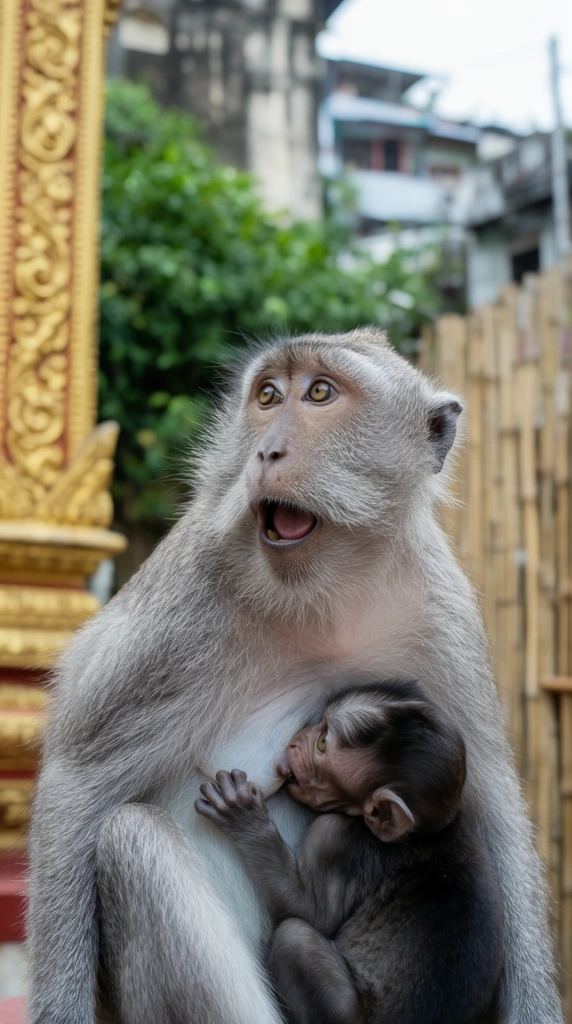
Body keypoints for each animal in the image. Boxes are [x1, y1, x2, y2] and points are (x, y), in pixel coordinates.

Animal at [195, 680, 504, 1024]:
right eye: (319, 726)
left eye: (322, 743)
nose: (295, 741)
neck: (420, 832)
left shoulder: (336, 836)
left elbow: (309, 910)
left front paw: (245, 818)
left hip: (344, 1013)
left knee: (295, 939)